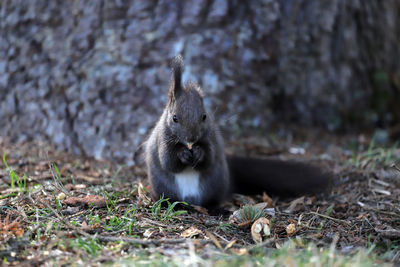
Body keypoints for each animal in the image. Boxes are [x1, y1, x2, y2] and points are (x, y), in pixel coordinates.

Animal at [144, 55, 332, 209]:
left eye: (204, 116)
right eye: (174, 118)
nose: (192, 138)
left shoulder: (210, 139)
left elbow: (209, 158)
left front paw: (198, 152)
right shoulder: (163, 140)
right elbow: (168, 161)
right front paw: (183, 154)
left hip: (216, 184)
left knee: (211, 201)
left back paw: (217, 210)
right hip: (163, 188)